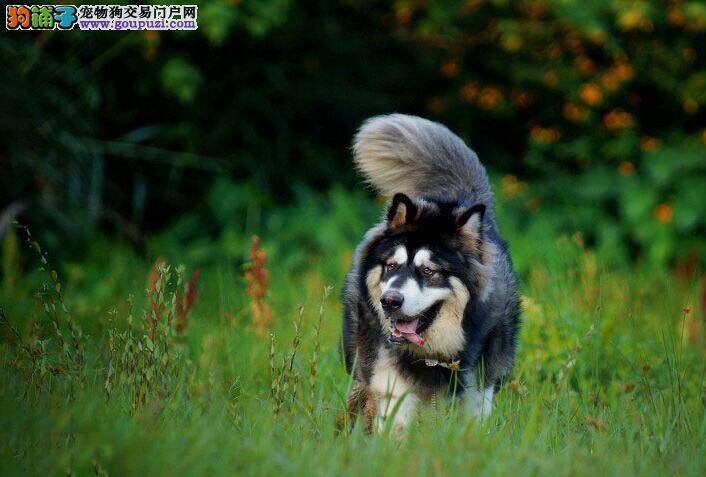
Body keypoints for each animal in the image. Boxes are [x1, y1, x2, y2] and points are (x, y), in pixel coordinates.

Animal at [338, 112, 520, 432]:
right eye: (391, 266)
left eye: (428, 270)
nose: (390, 301)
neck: (433, 353)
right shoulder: (388, 371)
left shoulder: (478, 381)